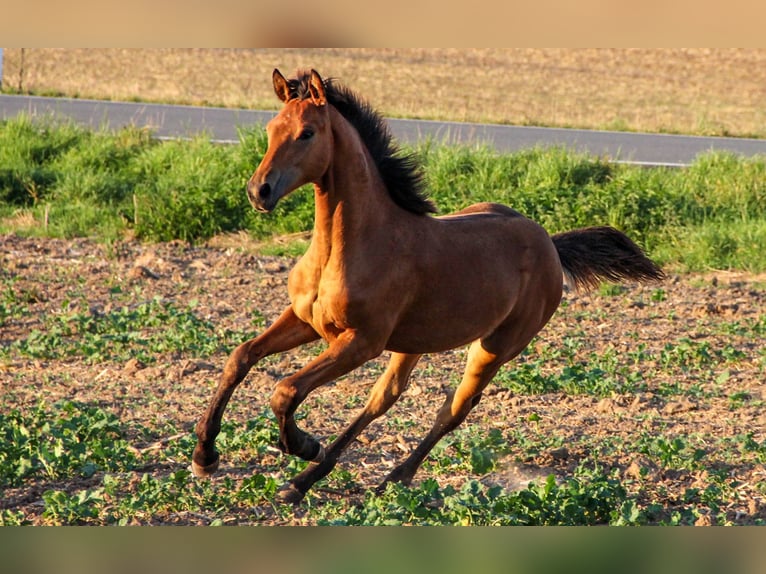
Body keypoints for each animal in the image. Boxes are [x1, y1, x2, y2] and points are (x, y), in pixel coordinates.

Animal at [192, 70, 664, 504]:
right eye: (271, 128)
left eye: (307, 133)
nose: (259, 191)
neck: (348, 246)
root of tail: (550, 242)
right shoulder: (306, 320)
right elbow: (240, 357)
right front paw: (205, 457)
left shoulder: (360, 341)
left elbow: (286, 389)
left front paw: (304, 444)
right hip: (413, 342)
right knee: (384, 398)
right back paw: (306, 481)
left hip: (495, 347)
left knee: (453, 409)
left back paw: (389, 476)